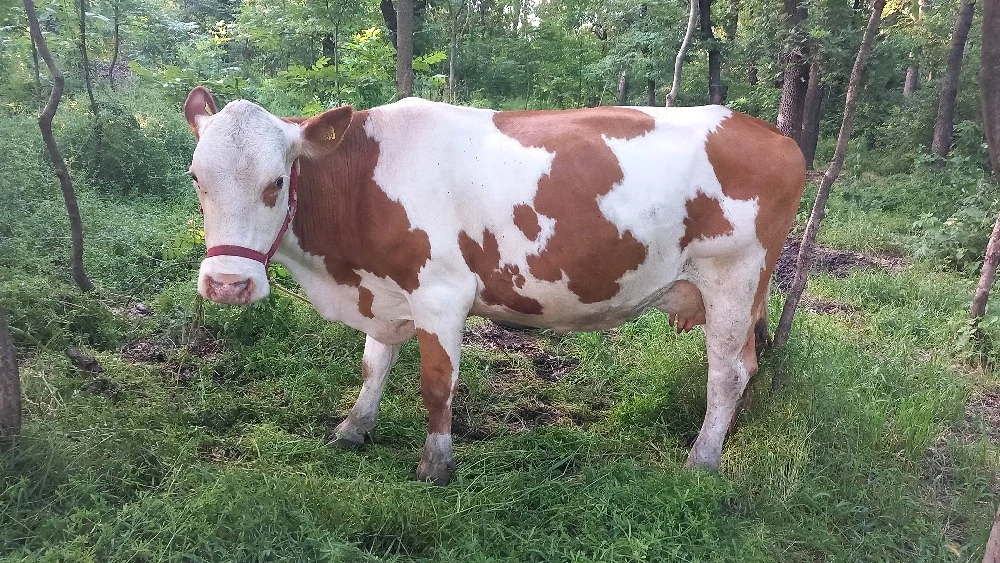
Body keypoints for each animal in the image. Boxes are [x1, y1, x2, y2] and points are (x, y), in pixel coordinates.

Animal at [183, 86, 806, 485]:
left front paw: (436, 464)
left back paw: (702, 460)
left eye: (276, 181)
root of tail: (774, 137)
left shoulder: (440, 294)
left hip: (733, 277)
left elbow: (437, 384)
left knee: (727, 373)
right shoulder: (384, 289)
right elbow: (373, 364)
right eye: (195, 177)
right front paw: (353, 429)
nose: (228, 284)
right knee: (744, 367)